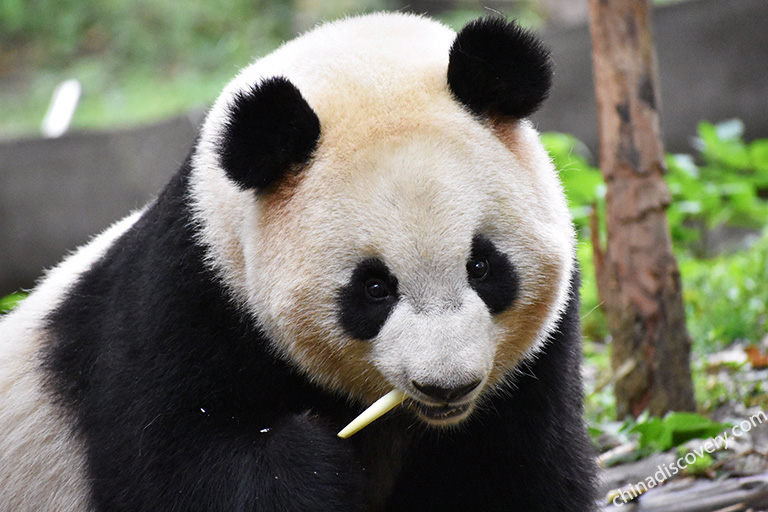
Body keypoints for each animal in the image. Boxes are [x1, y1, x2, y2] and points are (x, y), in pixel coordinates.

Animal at [0, 12, 596, 512]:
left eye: (481, 267)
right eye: (373, 288)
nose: (445, 386)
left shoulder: (534, 369)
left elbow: (517, 475)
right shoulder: (187, 302)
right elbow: (170, 467)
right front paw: (312, 462)